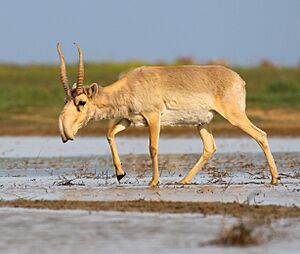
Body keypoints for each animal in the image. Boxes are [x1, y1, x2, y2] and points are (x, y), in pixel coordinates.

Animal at [56, 43, 278, 187]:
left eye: (81, 102)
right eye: (65, 100)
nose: (65, 133)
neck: (130, 86)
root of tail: (239, 80)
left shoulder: (153, 117)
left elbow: (153, 148)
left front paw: (154, 181)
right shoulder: (129, 120)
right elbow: (109, 134)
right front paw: (120, 174)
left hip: (234, 116)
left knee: (260, 135)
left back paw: (275, 178)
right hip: (202, 123)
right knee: (210, 147)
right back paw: (183, 180)